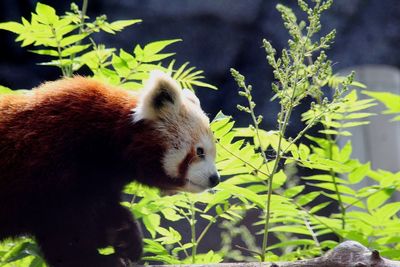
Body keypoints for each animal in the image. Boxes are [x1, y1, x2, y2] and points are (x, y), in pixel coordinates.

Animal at [0, 71, 220, 267]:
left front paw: (127, 238)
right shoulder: (53, 166)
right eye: (200, 151)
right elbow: (64, 230)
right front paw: (96, 259)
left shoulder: (98, 182)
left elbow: (104, 210)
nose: (215, 178)